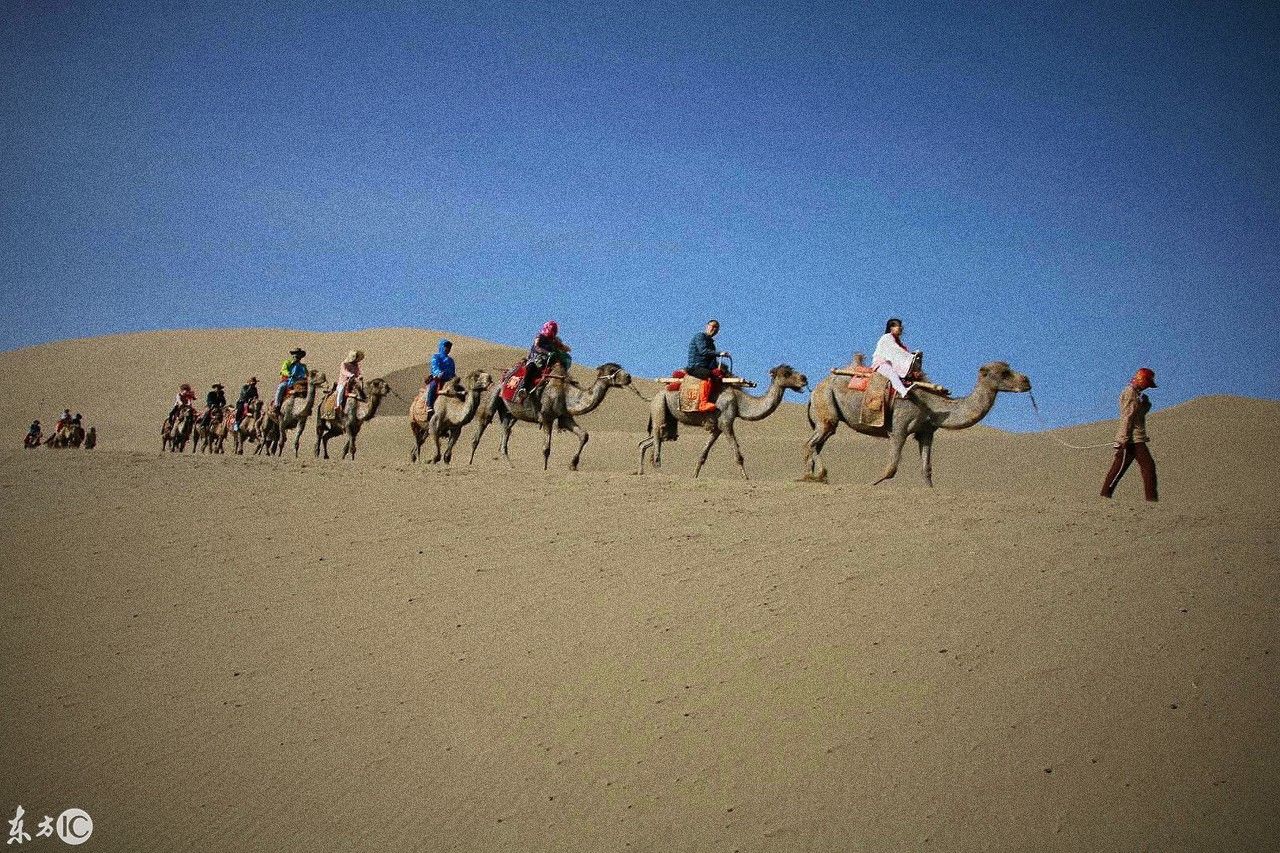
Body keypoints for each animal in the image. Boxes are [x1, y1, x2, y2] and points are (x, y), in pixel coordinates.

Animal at [468, 361, 632, 471]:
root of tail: (499, 380)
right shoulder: (547, 416)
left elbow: (584, 435)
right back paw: (470, 461)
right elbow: (546, 448)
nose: (629, 376)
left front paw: (573, 464)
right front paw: (545, 469)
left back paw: (511, 465)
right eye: (613, 369)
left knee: (506, 430)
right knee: (484, 421)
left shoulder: (564, 416)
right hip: (494, 395)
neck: (566, 393)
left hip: (509, 412)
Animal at [640, 361, 808, 473]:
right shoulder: (726, 422)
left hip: (670, 421)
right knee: (657, 433)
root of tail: (655, 395)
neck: (739, 401)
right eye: (786, 374)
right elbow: (738, 455)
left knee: (649, 441)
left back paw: (643, 470)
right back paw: (656, 464)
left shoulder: (717, 427)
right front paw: (746, 479)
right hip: (659, 406)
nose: (804, 378)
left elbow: (703, 455)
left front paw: (694, 476)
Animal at [803, 358, 1034, 484]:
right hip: (826, 405)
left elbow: (927, 470)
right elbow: (891, 467)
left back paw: (812, 476)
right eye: (1004, 373)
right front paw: (868, 484)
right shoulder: (899, 427)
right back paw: (817, 475)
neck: (933, 405)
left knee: (816, 443)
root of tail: (816, 388)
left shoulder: (926, 432)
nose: (1026, 381)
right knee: (812, 442)